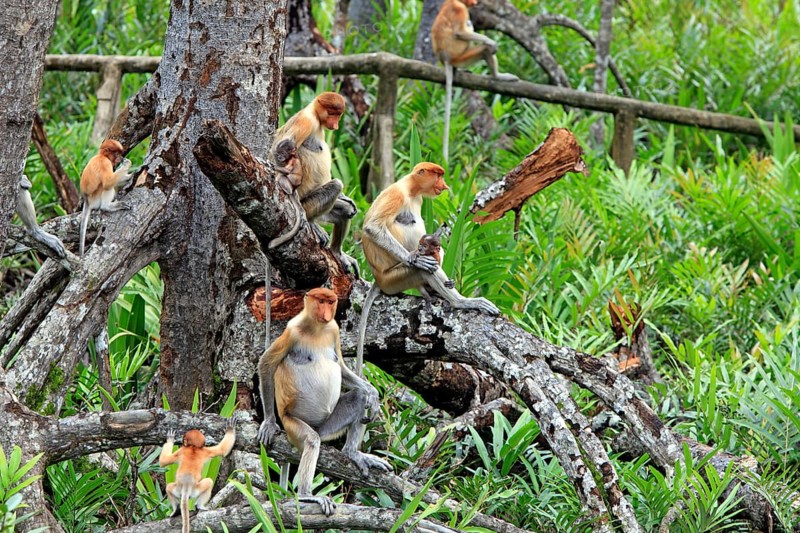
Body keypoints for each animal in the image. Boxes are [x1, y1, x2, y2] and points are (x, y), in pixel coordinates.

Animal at [257, 288, 390, 516]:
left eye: (330, 302)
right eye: (320, 301)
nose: (326, 314)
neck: (317, 329)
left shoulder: (334, 329)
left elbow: (342, 367)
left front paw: (373, 394)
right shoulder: (292, 331)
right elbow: (267, 363)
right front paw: (269, 424)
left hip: (327, 426)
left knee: (358, 397)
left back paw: (353, 453)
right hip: (292, 423)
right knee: (311, 440)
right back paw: (306, 495)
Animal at [271, 92, 359, 273]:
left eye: (338, 114)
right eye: (331, 113)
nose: (335, 124)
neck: (315, 116)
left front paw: (346, 198)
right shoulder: (305, 121)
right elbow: (280, 148)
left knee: (345, 211)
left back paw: (337, 253)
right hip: (308, 204)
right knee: (335, 185)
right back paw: (310, 222)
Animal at [356, 162, 500, 375]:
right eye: (438, 176)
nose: (444, 185)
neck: (411, 189)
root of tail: (378, 279)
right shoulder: (396, 195)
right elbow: (372, 227)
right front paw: (415, 259)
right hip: (393, 279)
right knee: (422, 270)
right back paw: (460, 301)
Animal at [431, 0, 519, 163]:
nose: (475, 2)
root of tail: (446, 59)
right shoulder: (460, 9)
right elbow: (460, 32)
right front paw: (491, 42)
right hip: (461, 56)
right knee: (482, 47)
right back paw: (498, 76)